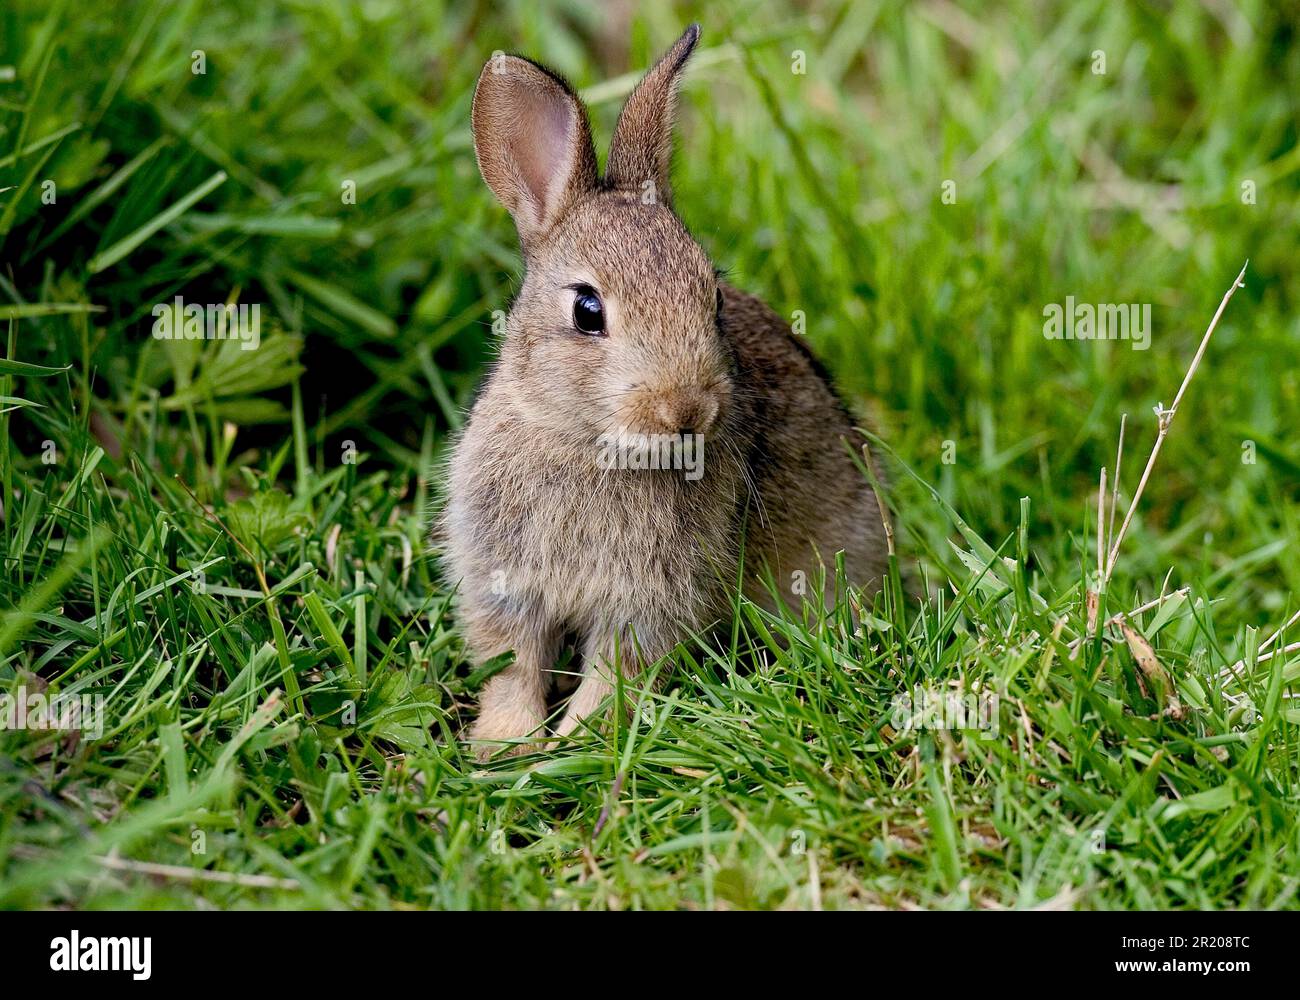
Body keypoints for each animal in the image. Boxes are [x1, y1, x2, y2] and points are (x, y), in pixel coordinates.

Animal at [442, 23, 889, 759]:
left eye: (714, 299)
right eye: (586, 310)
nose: (688, 411)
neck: (589, 448)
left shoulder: (651, 598)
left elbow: (615, 671)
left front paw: (580, 742)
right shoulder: (503, 581)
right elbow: (514, 664)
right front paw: (508, 745)